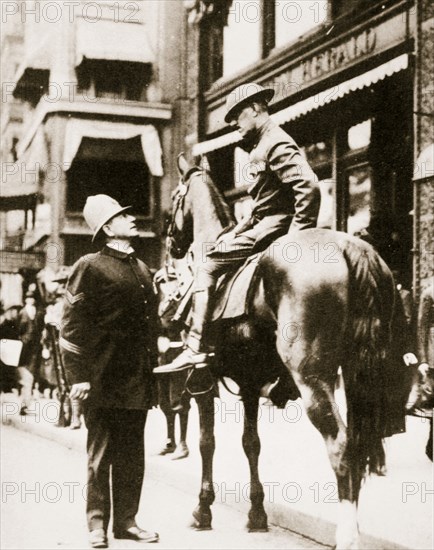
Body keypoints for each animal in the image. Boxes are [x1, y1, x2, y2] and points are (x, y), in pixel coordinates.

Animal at [162, 152, 410, 550]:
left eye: (174, 198)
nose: (171, 246)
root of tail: (351, 246)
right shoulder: (249, 383)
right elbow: (251, 443)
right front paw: (256, 514)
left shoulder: (203, 382)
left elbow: (206, 442)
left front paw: (202, 510)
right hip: (360, 377)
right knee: (357, 445)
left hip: (313, 380)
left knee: (341, 446)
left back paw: (347, 535)